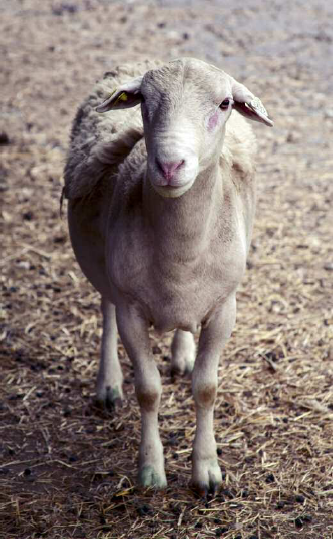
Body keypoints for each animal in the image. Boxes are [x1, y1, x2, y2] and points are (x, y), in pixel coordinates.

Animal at [63, 57, 272, 496]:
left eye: (225, 103)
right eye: (142, 100)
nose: (170, 165)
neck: (182, 256)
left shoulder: (224, 308)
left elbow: (207, 389)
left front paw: (206, 471)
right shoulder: (131, 310)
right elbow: (148, 390)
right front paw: (151, 471)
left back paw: (182, 354)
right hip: (104, 269)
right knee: (106, 309)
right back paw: (108, 384)